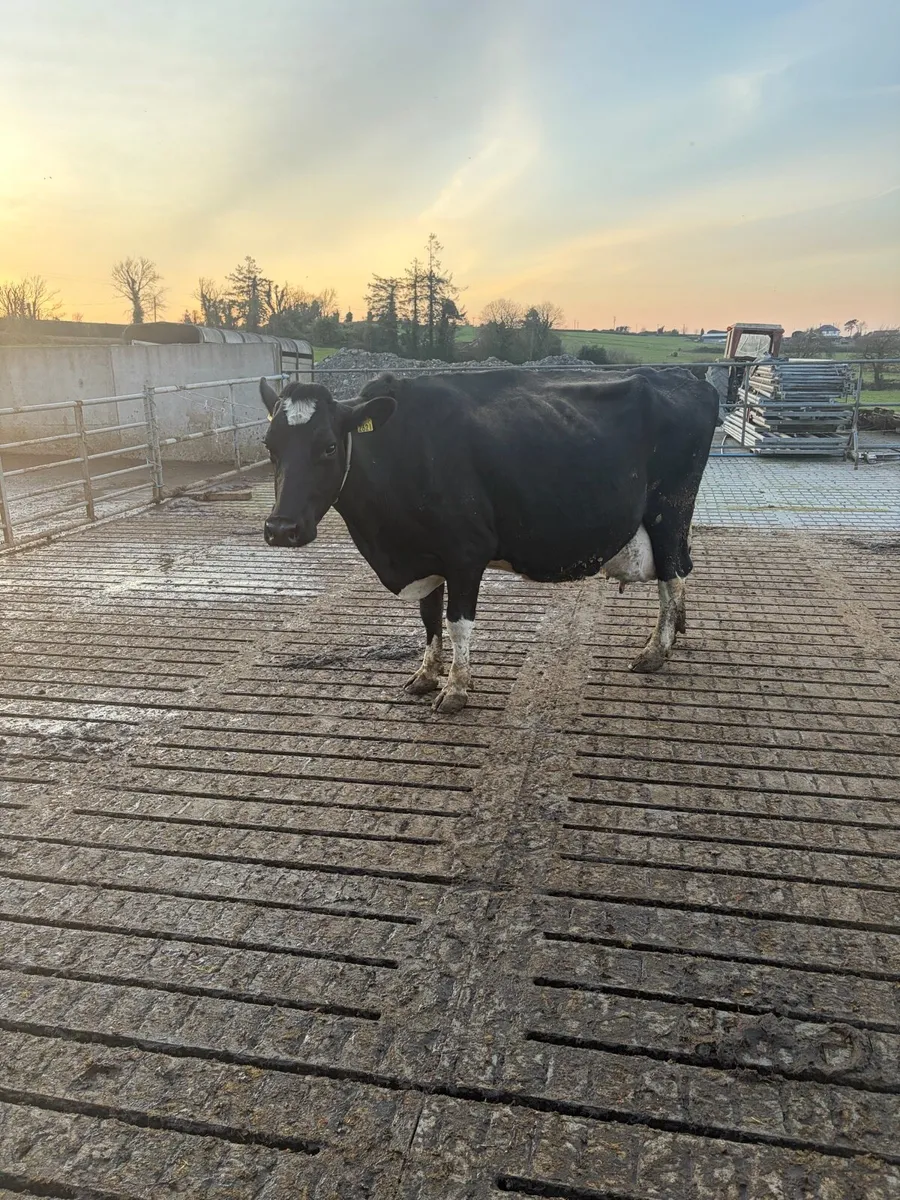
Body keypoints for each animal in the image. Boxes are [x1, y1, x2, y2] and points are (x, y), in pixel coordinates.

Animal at [260, 366, 719, 714]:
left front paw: (455, 689)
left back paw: (655, 652)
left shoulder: (466, 551)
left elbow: (457, 623)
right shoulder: (427, 554)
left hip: (669, 512)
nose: (281, 529)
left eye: (328, 446)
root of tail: (684, 377)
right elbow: (429, 618)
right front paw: (426, 675)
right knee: (679, 574)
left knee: (672, 578)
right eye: (269, 446)